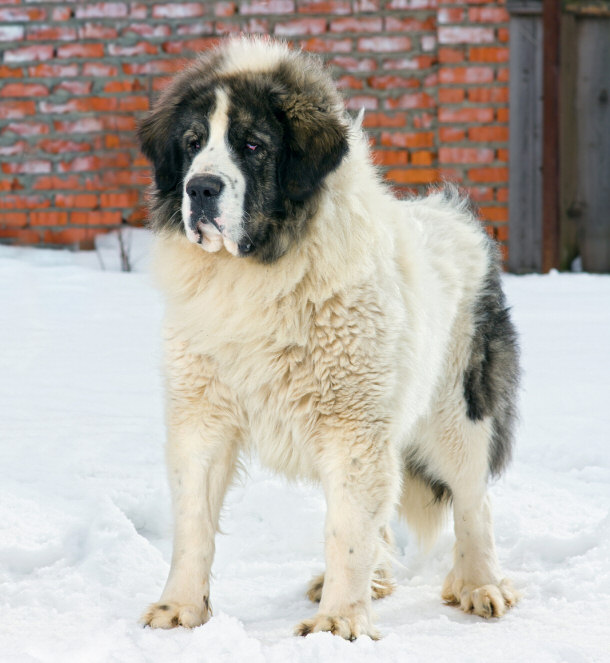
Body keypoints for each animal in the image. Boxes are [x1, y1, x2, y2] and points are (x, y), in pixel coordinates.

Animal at [137, 36, 516, 640]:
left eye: (252, 144)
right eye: (193, 144)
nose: (201, 187)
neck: (259, 275)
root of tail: (455, 216)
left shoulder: (352, 425)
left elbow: (347, 532)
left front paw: (339, 624)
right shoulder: (202, 416)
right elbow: (193, 524)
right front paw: (180, 610)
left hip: (457, 412)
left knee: (472, 500)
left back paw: (481, 585)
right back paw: (380, 582)